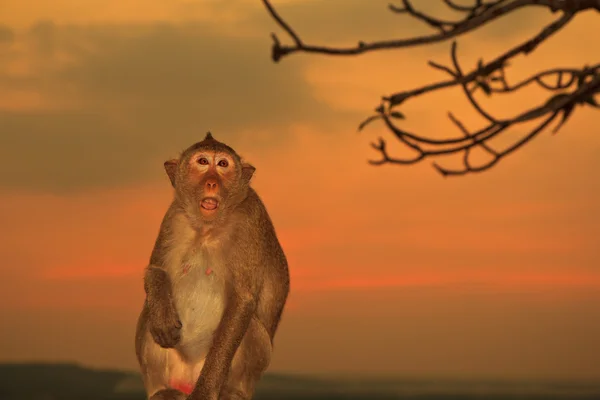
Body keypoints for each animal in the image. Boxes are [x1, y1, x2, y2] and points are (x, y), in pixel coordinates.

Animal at [135, 134, 290, 400]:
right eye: (203, 162)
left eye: (223, 165)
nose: (211, 183)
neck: (207, 228)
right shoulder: (174, 216)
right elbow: (156, 270)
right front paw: (162, 316)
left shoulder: (250, 218)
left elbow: (242, 301)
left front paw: (205, 392)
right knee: (147, 314)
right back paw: (163, 391)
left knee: (251, 328)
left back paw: (231, 392)